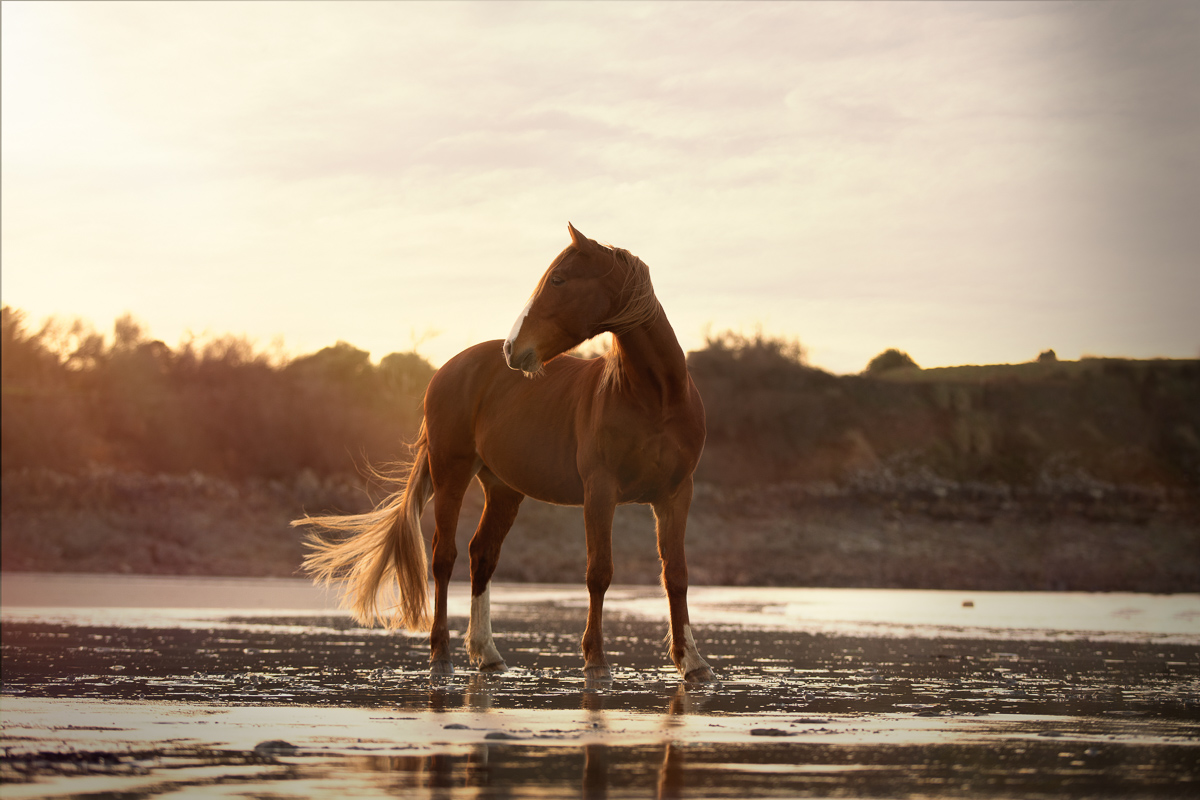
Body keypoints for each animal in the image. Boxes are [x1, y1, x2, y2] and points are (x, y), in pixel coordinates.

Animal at [294, 223, 715, 683]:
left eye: (558, 280)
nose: (514, 349)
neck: (655, 397)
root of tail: (446, 370)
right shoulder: (600, 491)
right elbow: (599, 572)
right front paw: (596, 662)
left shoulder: (676, 495)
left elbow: (677, 575)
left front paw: (693, 662)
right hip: (451, 474)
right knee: (444, 558)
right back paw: (441, 656)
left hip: (503, 489)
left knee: (483, 555)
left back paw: (488, 654)